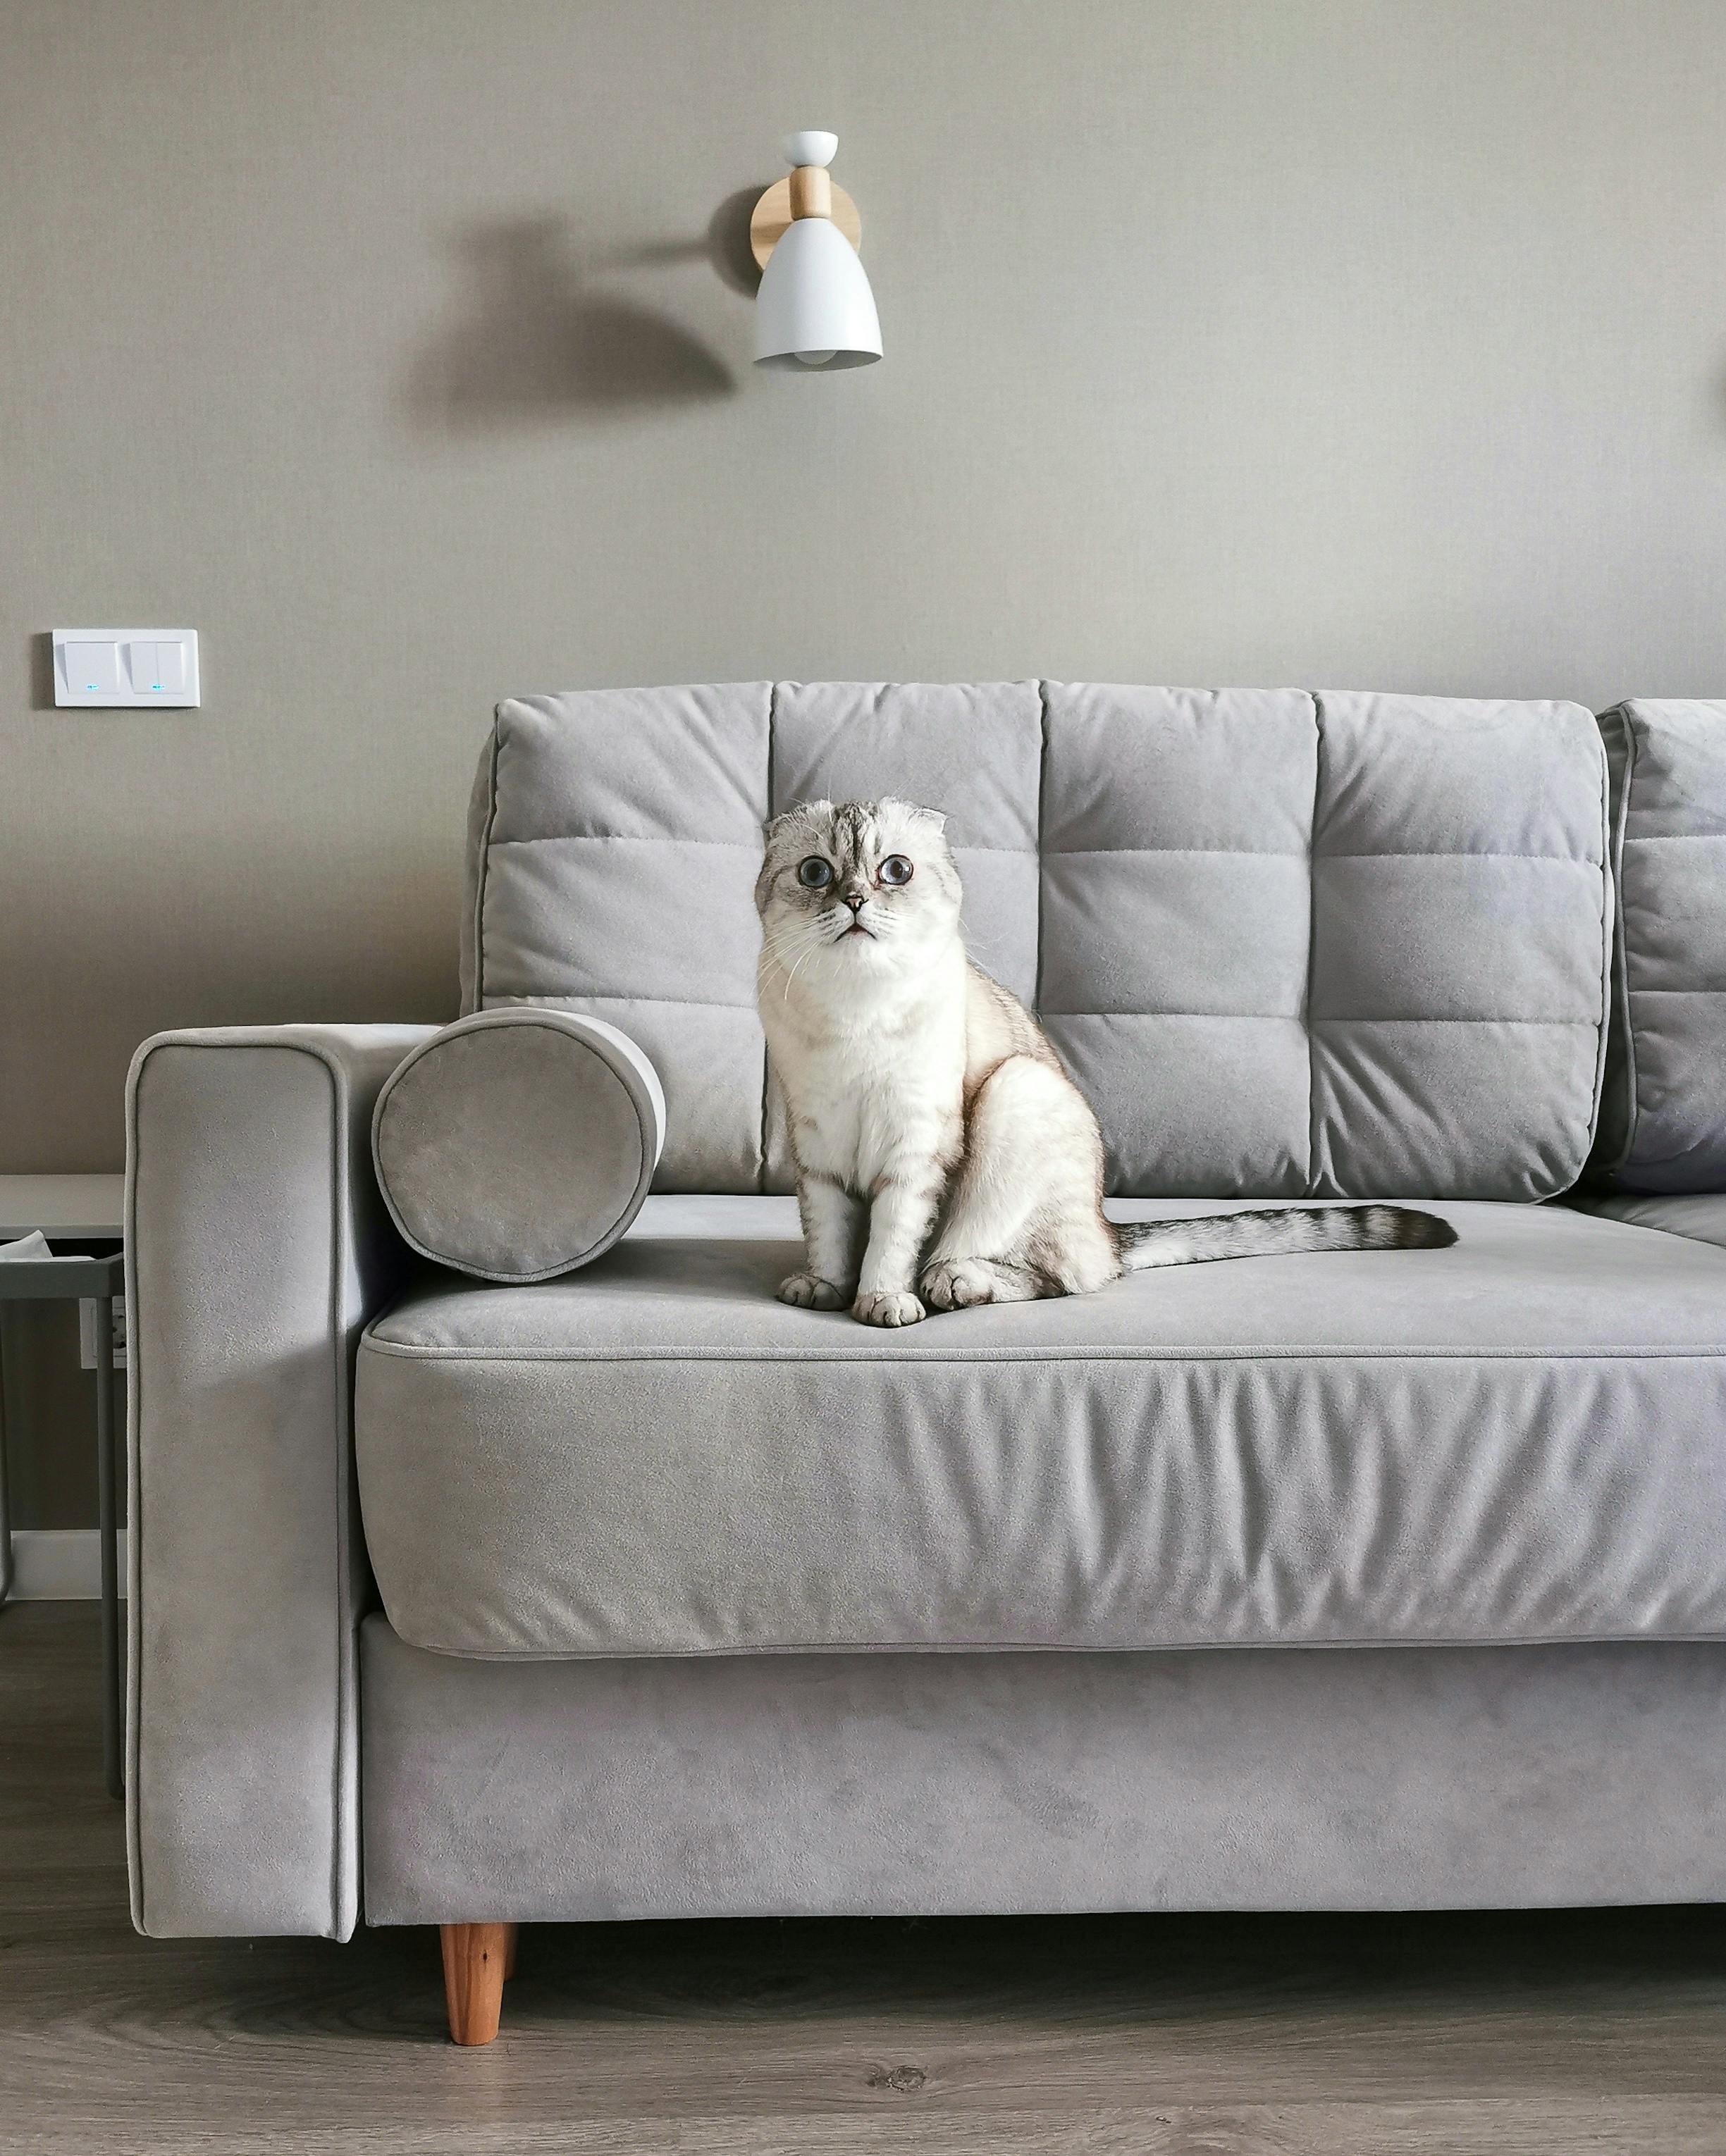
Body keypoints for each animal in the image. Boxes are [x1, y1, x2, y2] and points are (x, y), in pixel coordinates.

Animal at [759, 798, 1458, 1319]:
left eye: (895, 871)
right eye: (816, 874)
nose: (854, 901)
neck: (854, 1011)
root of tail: (1107, 1224)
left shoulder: (913, 1149)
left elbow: (891, 1240)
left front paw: (880, 1299)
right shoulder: (817, 1146)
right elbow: (830, 1233)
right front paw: (827, 1289)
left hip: (1019, 1092)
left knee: (1064, 1274)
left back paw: (955, 1283)